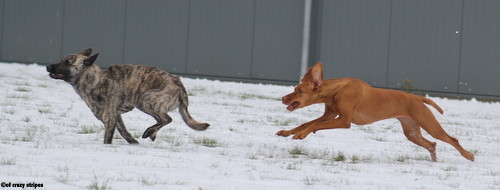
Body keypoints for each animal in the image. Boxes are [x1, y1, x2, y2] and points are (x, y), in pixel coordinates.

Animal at [47, 47, 209, 144]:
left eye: (68, 62)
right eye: (62, 59)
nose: (48, 66)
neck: (95, 80)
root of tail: (179, 84)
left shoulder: (109, 119)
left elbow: (108, 138)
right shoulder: (116, 117)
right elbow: (125, 133)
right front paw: (134, 143)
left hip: (146, 100)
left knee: (167, 119)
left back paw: (149, 131)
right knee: (160, 120)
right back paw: (152, 133)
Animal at [280, 62, 474, 162]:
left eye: (299, 91)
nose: (283, 98)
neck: (337, 90)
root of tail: (418, 98)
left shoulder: (344, 121)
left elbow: (315, 125)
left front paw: (302, 134)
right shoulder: (329, 115)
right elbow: (307, 123)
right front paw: (288, 132)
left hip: (430, 125)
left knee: (451, 140)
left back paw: (468, 156)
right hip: (412, 132)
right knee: (432, 144)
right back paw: (434, 161)